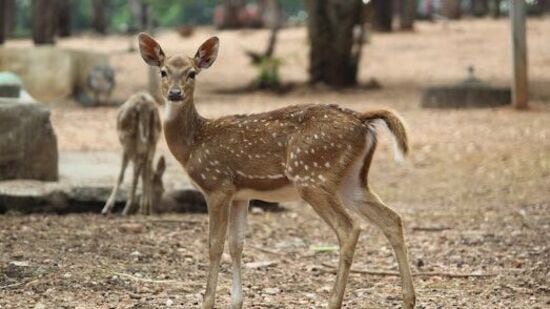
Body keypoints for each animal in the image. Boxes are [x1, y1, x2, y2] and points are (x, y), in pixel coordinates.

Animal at [138, 32, 418, 306]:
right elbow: (236, 244)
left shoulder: (217, 185)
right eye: (163, 71)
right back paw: (409, 299)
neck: (193, 144)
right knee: (392, 219)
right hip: (351, 180)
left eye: (192, 73)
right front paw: (236, 300)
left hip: (311, 175)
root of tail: (362, 121)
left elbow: (214, 245)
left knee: (349, 228)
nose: (175, 93)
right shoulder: (240, 194)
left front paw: (207, 300)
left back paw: (334, 301)